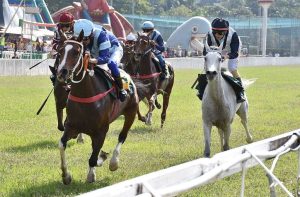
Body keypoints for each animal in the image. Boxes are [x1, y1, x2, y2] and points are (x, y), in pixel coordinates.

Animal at [56, 30, 141, 184]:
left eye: (76, 52)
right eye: (60, 51)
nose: (62, 73)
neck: (85, 94)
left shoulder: (101, 131)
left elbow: (93, 156)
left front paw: (91, 174)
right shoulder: (72, 127)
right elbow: (62, 144)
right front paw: (66, 175)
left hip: (131, 112)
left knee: (122, 136)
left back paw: (113, 162)